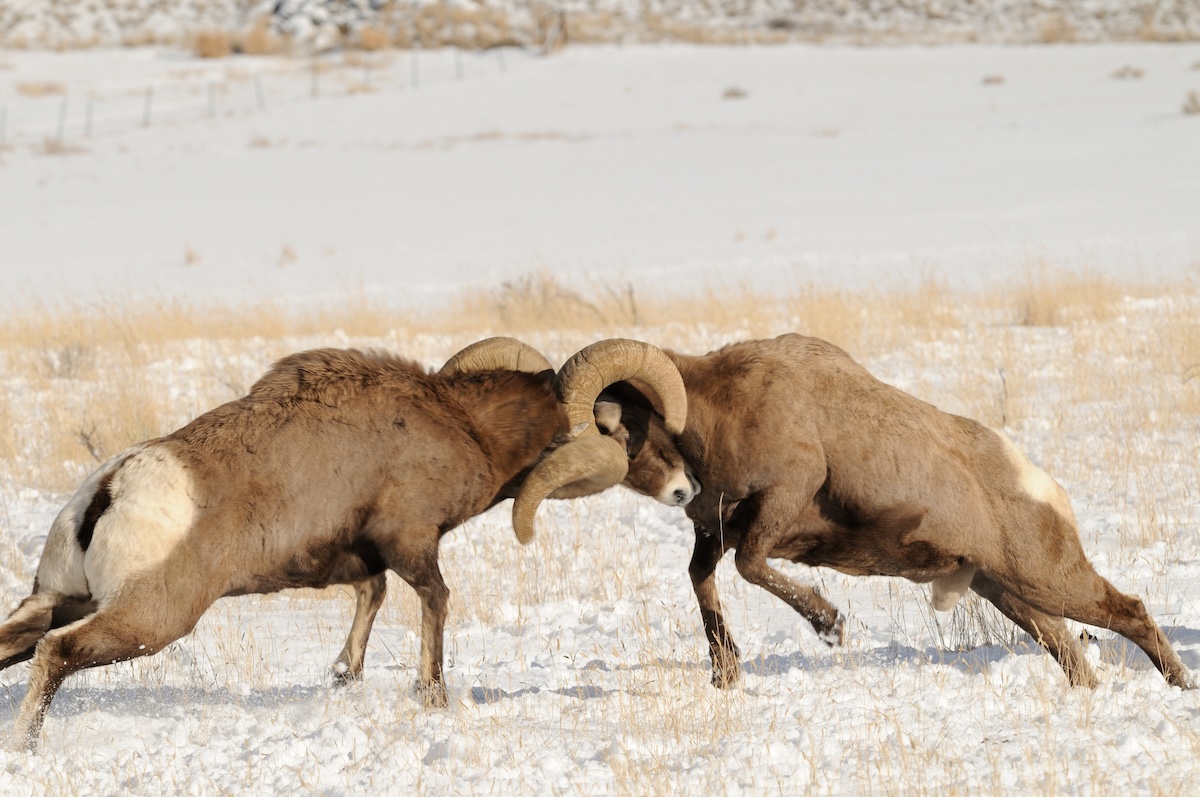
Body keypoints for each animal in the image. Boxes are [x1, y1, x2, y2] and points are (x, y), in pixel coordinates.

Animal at [0, 337, 692, 750]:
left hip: (59, 600)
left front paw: (344, 677)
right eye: (631, 428)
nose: (686, 489)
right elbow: (435, 602)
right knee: (58, 654)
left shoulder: (358, 562)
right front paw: (432, 697)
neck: (466, 428)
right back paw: (26, 747)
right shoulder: (412, 543)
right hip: (151, 620)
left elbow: (372, 597)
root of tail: (111, 490)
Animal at [516, 335, 1194, 691]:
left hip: (1048, 580)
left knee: (1131, 613)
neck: (722, 414)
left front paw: (830, 626)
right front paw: (724, 675)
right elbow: (705, 581)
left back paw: (1180, 685)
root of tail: (1041, 486)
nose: (678, 493)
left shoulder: (780, 502)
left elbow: (751, 568)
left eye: (613, 427)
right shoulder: (716, 531)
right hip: (1011, 595)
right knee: (1071, 655)